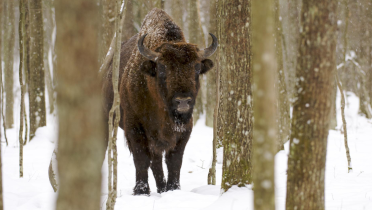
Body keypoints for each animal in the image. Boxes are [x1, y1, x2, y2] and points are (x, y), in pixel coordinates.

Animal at [101, 8, 218, 195]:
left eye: (197, 67)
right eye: (162, 68)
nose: (183, 102)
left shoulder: (184, 130)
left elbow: (174, 161)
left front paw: (173, 188)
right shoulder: (135, 128)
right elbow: (141, 159)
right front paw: (141, 191)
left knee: (157, 162)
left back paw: (162, 188)